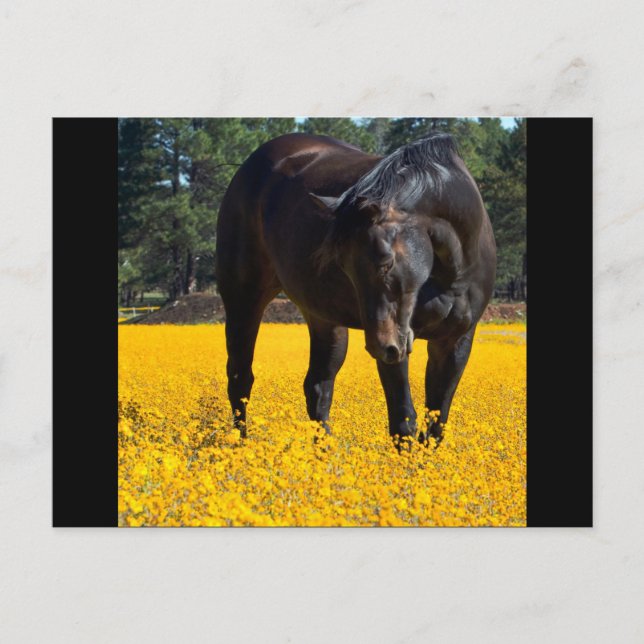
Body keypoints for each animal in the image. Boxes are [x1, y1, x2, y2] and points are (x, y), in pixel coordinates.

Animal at [215, 132, 496, 446]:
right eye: (343, 265)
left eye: (386, 261)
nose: (379, 346)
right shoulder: (396, 345)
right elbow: (403, 421)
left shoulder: (454, 341)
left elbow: (436, 426)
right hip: (244, 299)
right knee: (240, 378)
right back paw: (239, 444)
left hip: (325, 320)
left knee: (318, 387)